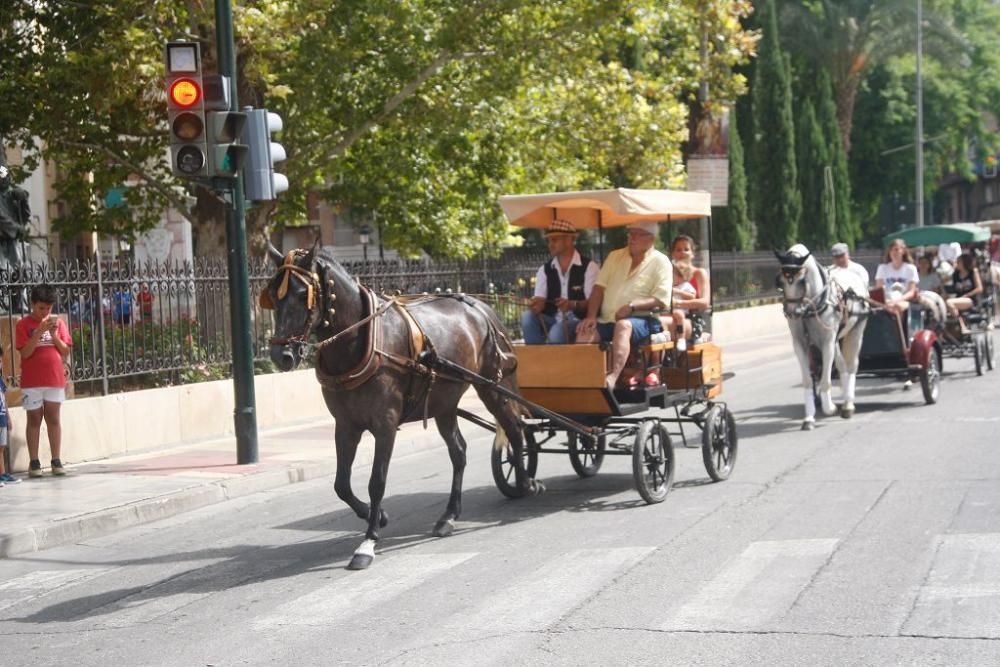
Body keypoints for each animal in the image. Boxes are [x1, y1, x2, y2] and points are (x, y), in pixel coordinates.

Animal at [260, 245, 540, 568]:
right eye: (273, 294)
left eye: (300, 293)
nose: (280, 355)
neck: (359, 341)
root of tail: (480, 306)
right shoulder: (345, 426)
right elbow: (341, 484)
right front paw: (376, 515)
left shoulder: (386, 425)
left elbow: (377, 481)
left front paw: (368, 542)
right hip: (444, 403)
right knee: (459, 452)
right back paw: (449, 515)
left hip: (492, 387)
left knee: (514, 429)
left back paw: (525, 482)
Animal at [772, 244, 868, 428]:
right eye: (780, 280)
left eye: (802, 280)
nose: (792, 313)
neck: (811, 306)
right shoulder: (800, 343)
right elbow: (808, 380)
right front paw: (809, 417)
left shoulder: (827, 342)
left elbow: (825, 380)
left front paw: (829, 408)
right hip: (837, 340)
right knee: (842, 366)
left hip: (856, 331)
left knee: (852, 365)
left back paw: (848, 404)